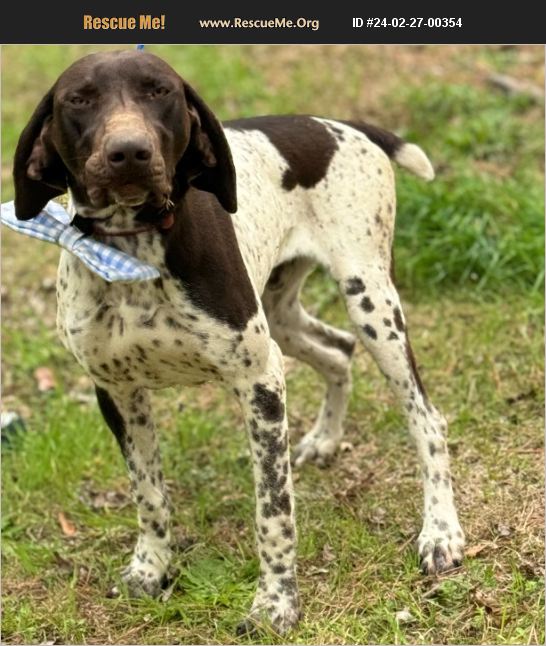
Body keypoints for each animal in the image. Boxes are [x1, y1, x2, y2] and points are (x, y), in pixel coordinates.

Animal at [12, 52, 462, 636]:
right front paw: (151, 570)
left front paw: (275, 603)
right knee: (338, 350)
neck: (133, 248)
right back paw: (325, 439)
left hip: (370, 303)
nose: (129, 152)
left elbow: (274, 513)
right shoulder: (118, 393)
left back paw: (441, 532)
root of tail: (340, 125)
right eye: (79, 99)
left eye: (160, 91)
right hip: (280, 315)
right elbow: (149, 496)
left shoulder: (259, 383)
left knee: (426, 418)